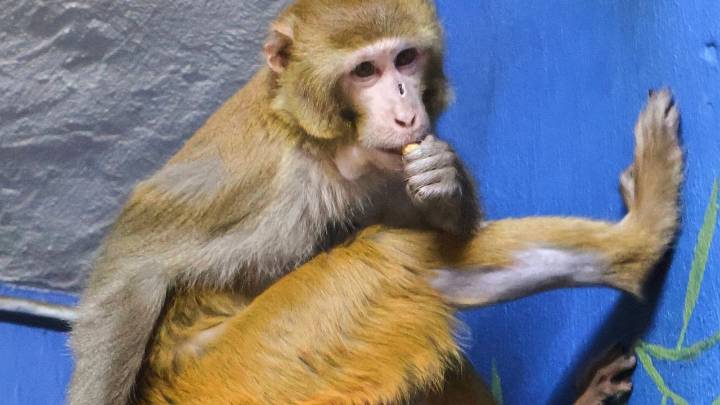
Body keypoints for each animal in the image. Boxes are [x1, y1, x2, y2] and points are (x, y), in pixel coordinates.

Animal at [69, 1, 480, 404]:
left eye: (405, 58)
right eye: (365, 70)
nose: (405, 112)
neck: (319, 143)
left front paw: (443, 178)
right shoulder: (259, 182)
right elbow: (130, 268)